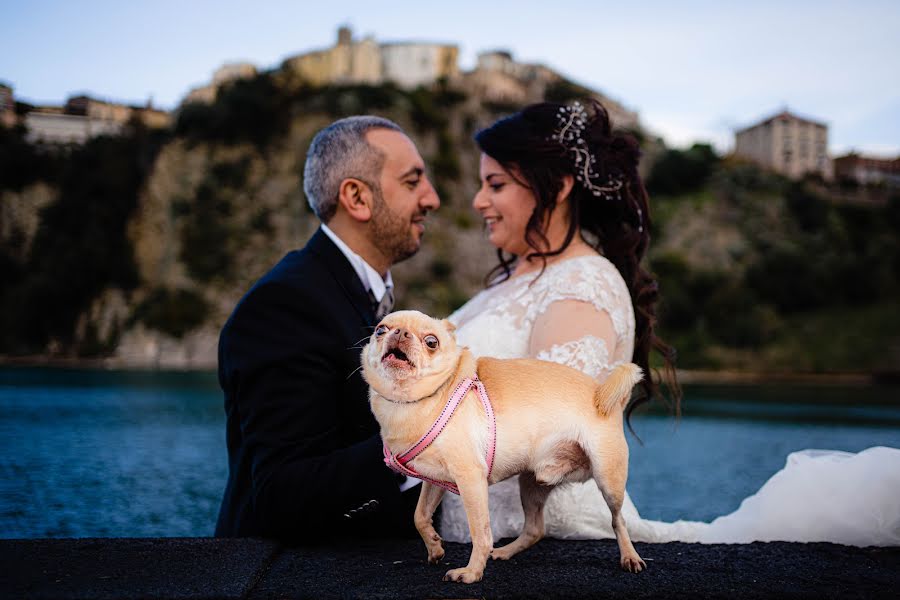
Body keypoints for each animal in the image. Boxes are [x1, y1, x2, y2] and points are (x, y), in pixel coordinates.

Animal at [362, 312, 644, 584]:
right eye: (380, 330)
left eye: (431, 342)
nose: (401, 332)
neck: (409, 402)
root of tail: (602, 394)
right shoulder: (434, 479)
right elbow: (420, 515)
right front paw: (434, 546)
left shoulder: (471, 480)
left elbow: (480, 533)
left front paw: (471, 573)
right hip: (532, 483)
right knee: (534, 529)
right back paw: (505, 552)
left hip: (608, 478)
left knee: (618, 520)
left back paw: (630, 557)